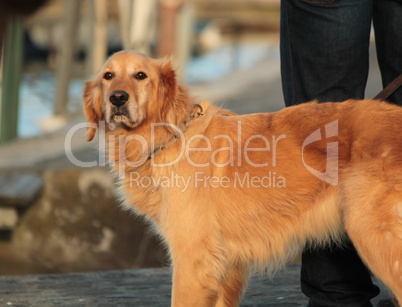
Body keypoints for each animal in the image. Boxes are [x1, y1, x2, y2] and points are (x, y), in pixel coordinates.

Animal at [83, 50, 400, 306]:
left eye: (140, 76)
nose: (117, 98)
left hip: (372, 235)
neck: (169, 137)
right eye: (108, 76)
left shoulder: (192, 258)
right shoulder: (226, 266)